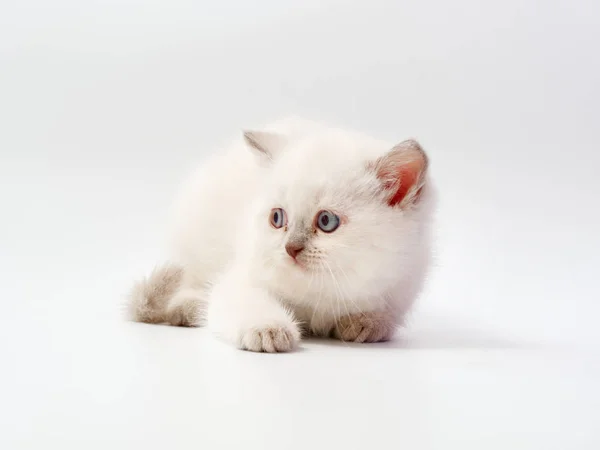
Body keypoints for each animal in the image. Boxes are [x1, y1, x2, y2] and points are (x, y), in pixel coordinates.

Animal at [127, 118, 436, 354]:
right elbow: (244, 301)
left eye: (327, 221)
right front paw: (269, 330)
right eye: (277, 219)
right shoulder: (241, 279)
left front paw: (365, 323)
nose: (291, 248)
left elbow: (381, 315)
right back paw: (189, 308)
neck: (320, 294)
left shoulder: (399, 287)